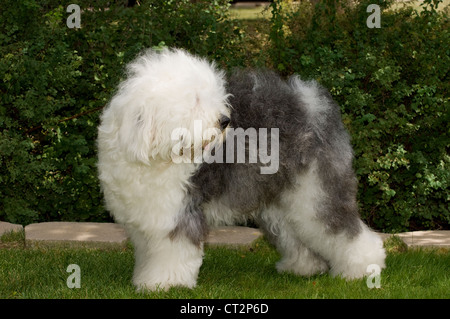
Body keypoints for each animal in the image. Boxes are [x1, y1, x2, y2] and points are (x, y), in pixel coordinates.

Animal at [96, 48, 384, 292]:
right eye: (195, 100)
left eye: (212, 97)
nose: (224, 120)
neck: (154, 154)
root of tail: (312, 101)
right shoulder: (145, 217)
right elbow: (149, 253)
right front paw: (145, 279)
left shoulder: (178, 212)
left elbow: (172, 253)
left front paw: (166, 284)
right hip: (286, 198)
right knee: (298, 233)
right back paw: (302, 268)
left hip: (317, 190)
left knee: (344, 230)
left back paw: (363, 269)